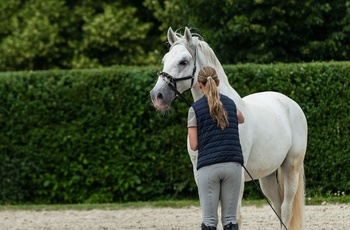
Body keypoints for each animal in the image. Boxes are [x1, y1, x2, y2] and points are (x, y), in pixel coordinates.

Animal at [149, 26, 308, 228]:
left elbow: (235, 216)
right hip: (267, 175)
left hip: (291, 168)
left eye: (183, 61)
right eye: (164, 60)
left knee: (286, 209)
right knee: (278, 207)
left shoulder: (236, 175)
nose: (157, 96)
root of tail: (290, 103)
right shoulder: (201, 174)